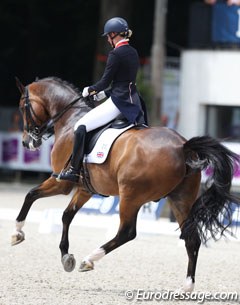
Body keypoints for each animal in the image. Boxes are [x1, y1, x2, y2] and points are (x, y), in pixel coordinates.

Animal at [13, 76, 240, 290]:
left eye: (23, 107)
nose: (26, 142)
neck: (70, 121)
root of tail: (183, 147)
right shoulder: (85, 189)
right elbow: (66, 215)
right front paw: (66, 257)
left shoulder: (61, 182)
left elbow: (31, 195)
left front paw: (17, 233)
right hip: (180, 199)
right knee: (191, 238)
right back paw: (187, 286)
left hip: (131, 196)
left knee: (127, 232)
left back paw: (89, 259)